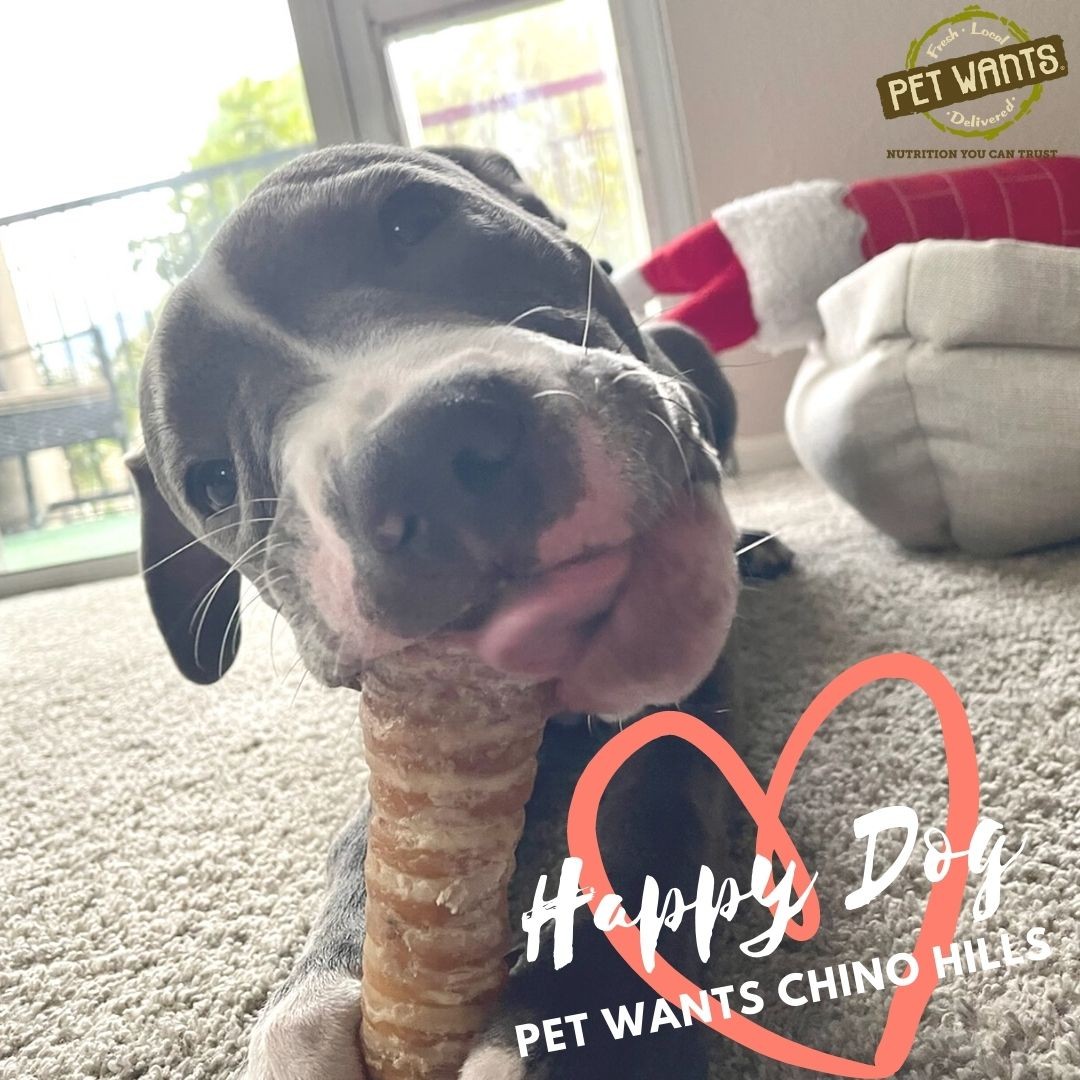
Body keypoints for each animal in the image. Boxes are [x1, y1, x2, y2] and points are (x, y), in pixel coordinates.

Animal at [128, 143, 792, 1079]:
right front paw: (313, 994)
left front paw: (583, 1027)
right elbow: (363, 844)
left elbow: (646, 811)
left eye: (412, 220)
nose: (414, 461)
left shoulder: (682, 679)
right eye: (215, 481)